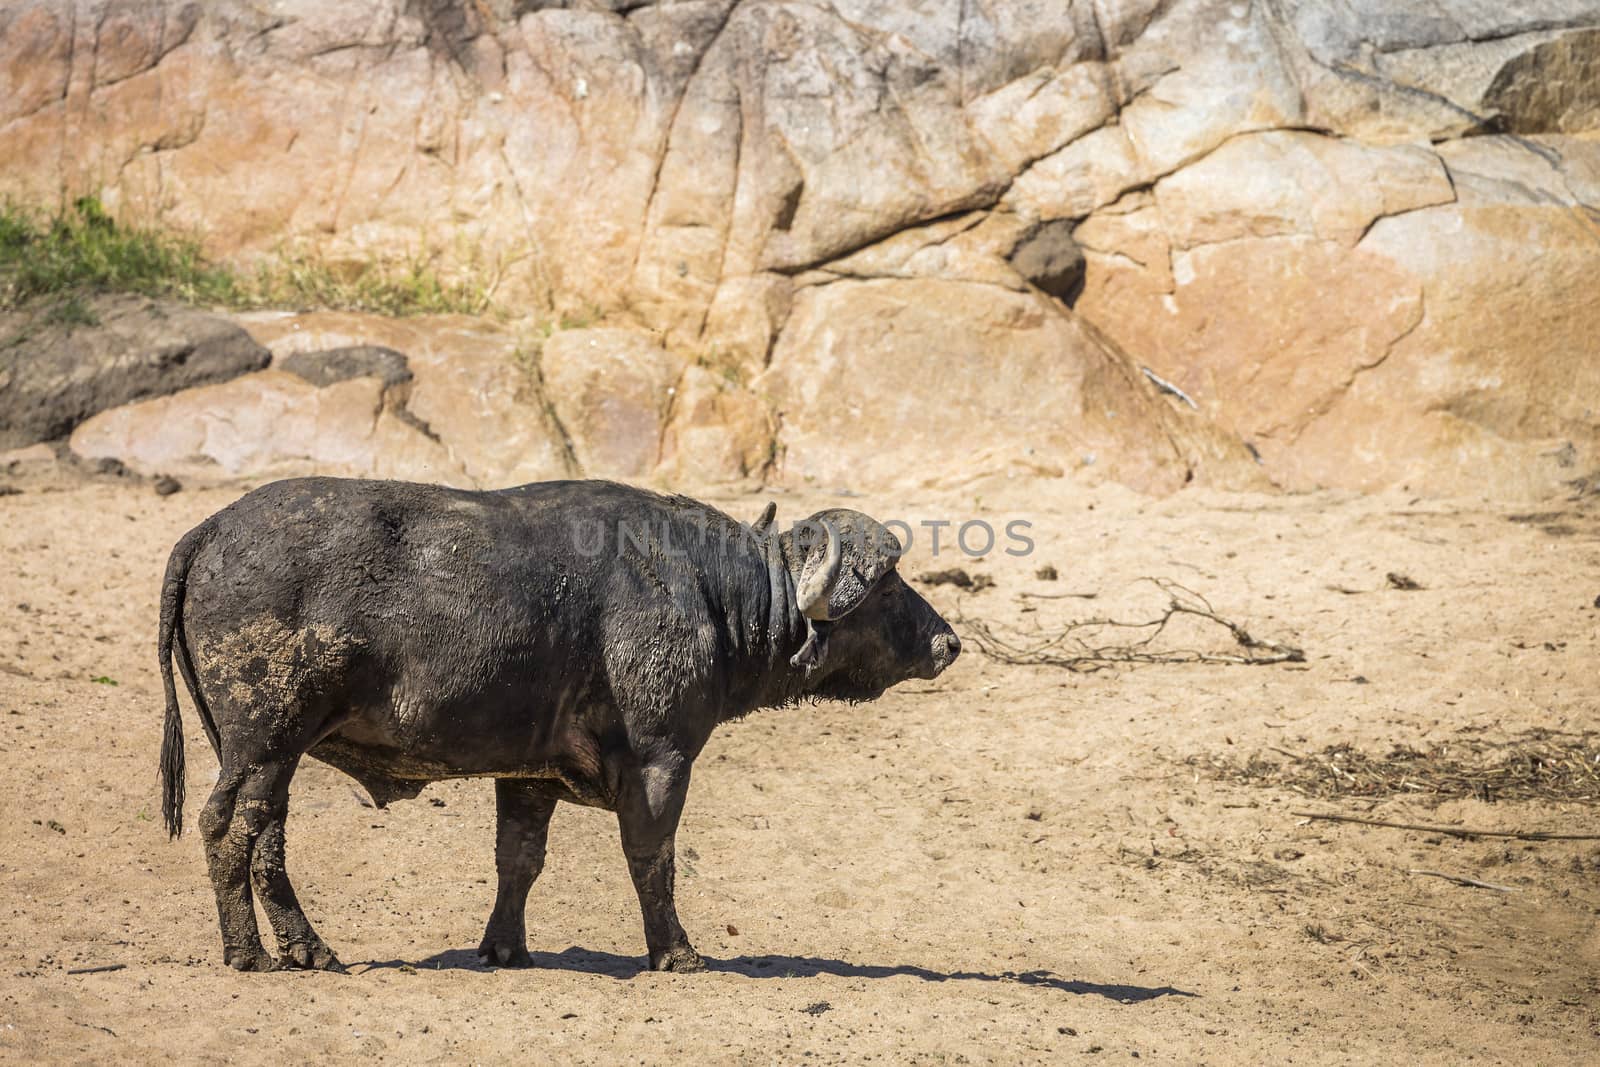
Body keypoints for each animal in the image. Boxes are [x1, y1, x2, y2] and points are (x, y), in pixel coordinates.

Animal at [159, 479, 960, 972]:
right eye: (888, 584)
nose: (948, 641)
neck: (708, 589)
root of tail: (209, 530)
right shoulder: (663, 761)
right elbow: (652, 859)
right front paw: (676, 952)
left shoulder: (527, 775)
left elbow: (519, 860)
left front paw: (505, 947)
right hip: (263, 744)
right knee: (225, 830)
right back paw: (249, 953)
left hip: (273, 755)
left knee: (266, 843)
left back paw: (308, 948)